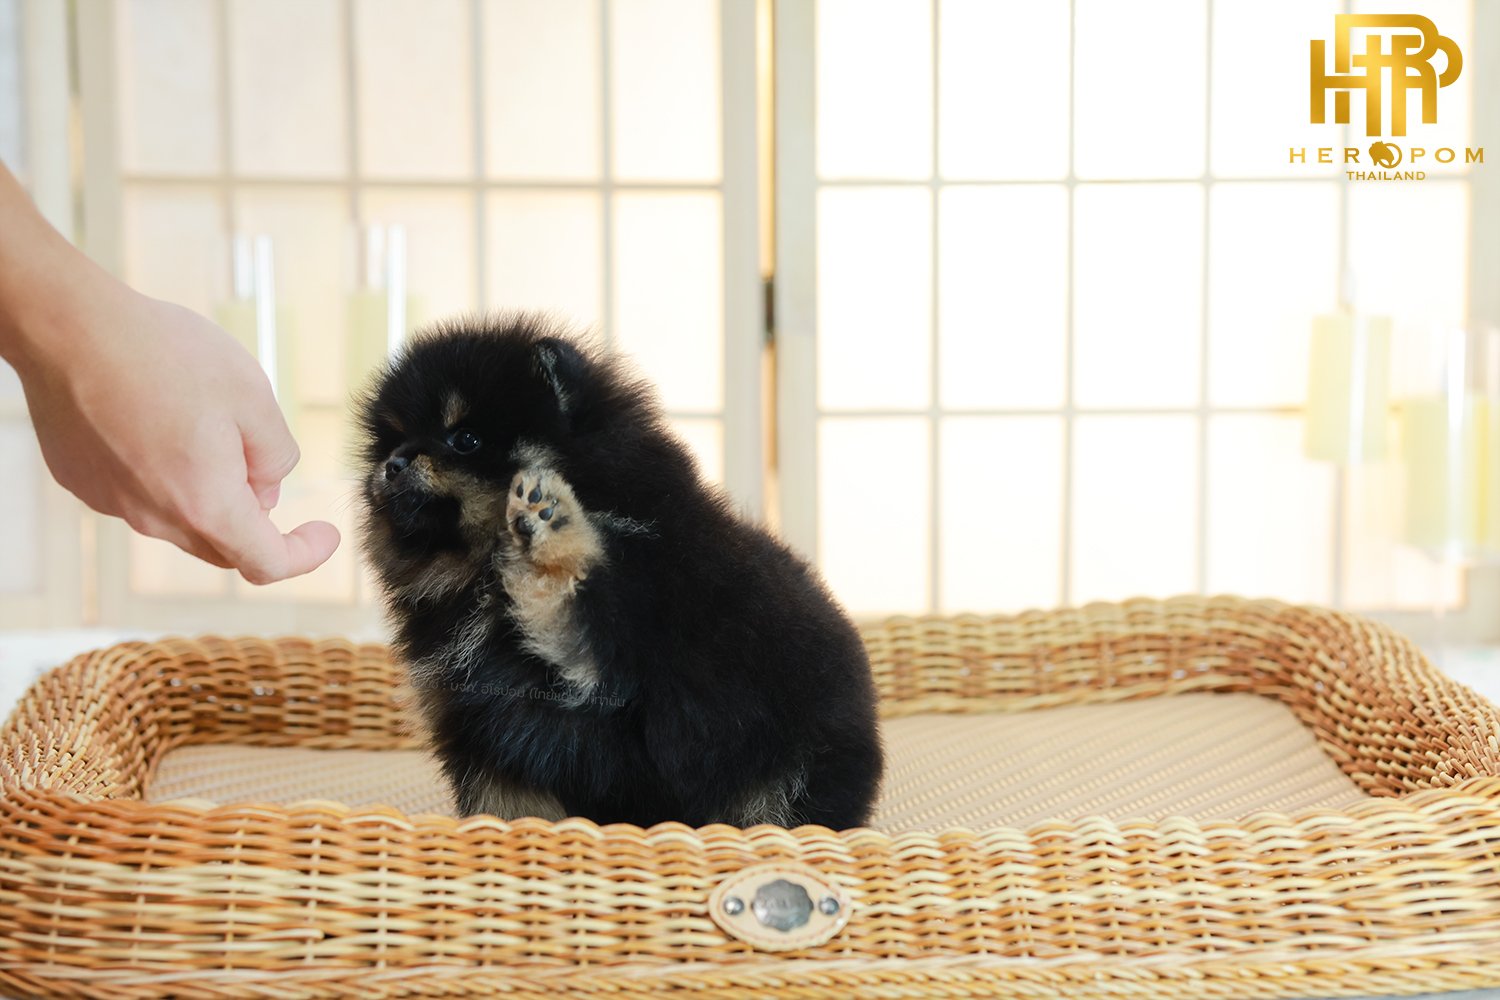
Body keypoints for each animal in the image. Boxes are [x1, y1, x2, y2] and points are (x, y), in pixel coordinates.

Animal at [357, 315, 883, 829]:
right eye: (394, 440)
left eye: (465, 439)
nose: (393, 464)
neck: (476, 578)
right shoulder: (486, 731)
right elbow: (508, 807)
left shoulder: (619, 646)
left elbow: (575, 599)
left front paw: (542, 532)